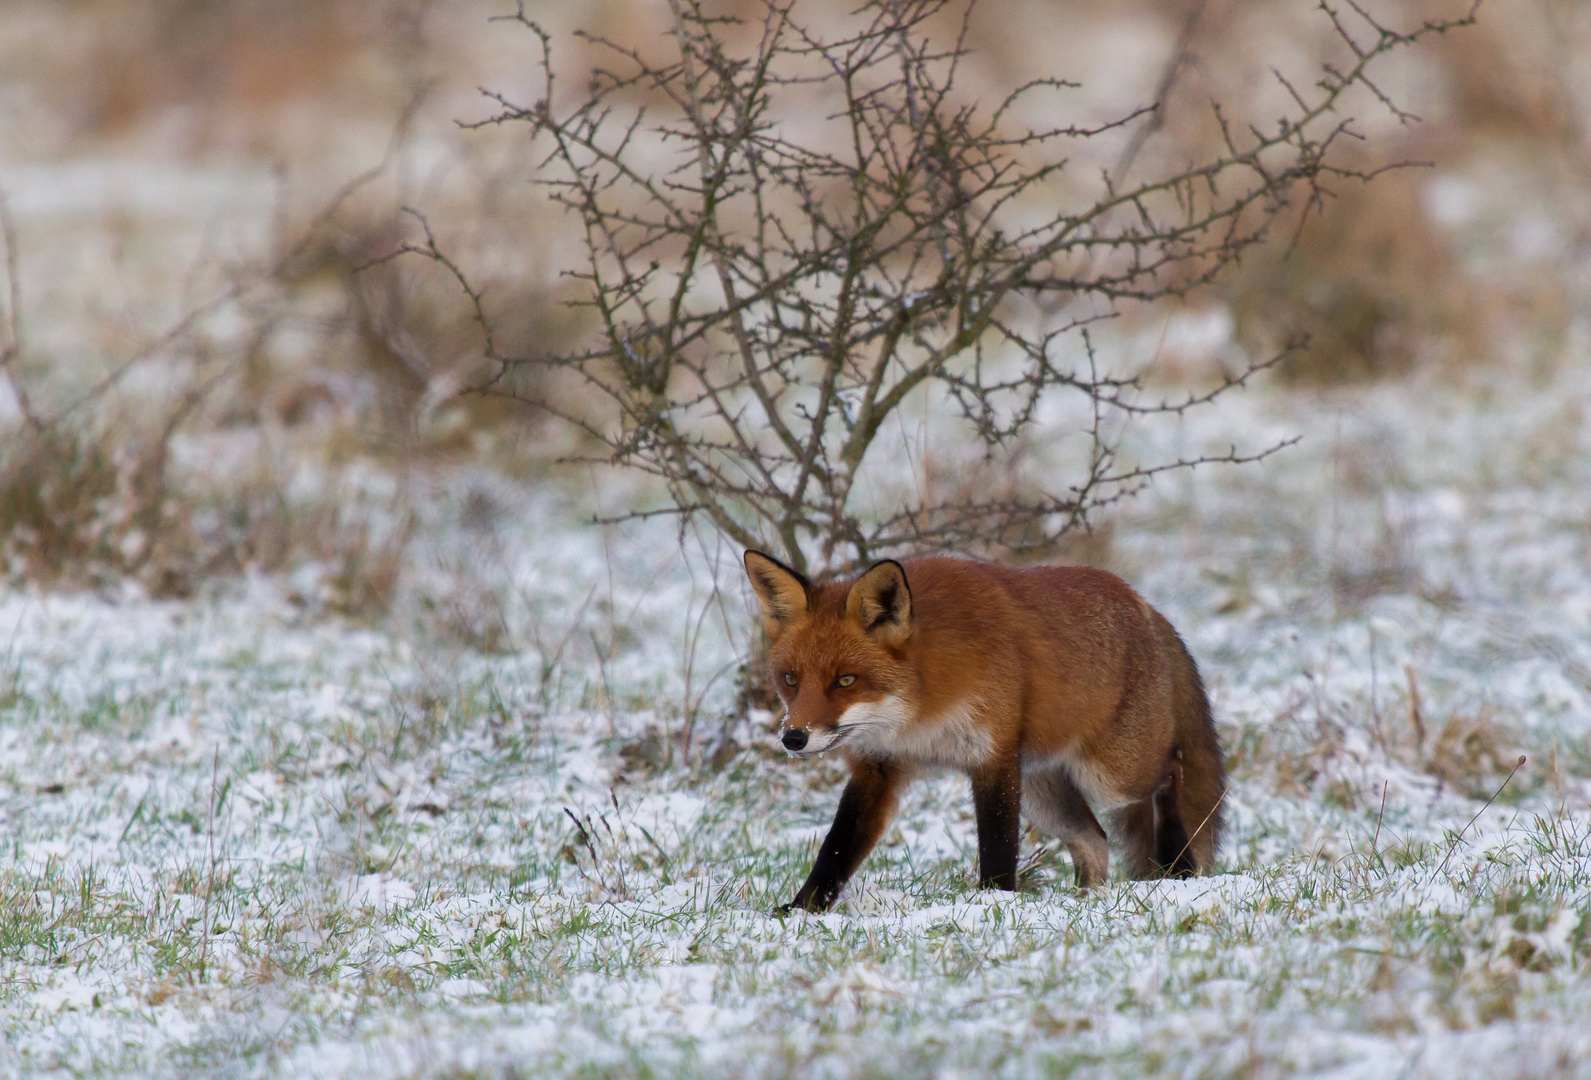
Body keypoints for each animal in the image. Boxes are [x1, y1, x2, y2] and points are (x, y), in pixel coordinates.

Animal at [747, 550, 1228, 909]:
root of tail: (1147, 606)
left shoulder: (993, 758)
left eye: (845, 680)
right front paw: (801, 910)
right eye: (790, 679)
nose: (793, 738)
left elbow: (997, 844)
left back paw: (1179, 868)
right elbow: (836, 849)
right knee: (1095, 840)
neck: (917, 714)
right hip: (1042, 795)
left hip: (1112, 777)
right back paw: (1085, 900)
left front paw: (995, 902)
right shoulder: (878, 767)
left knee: (1171, 772)